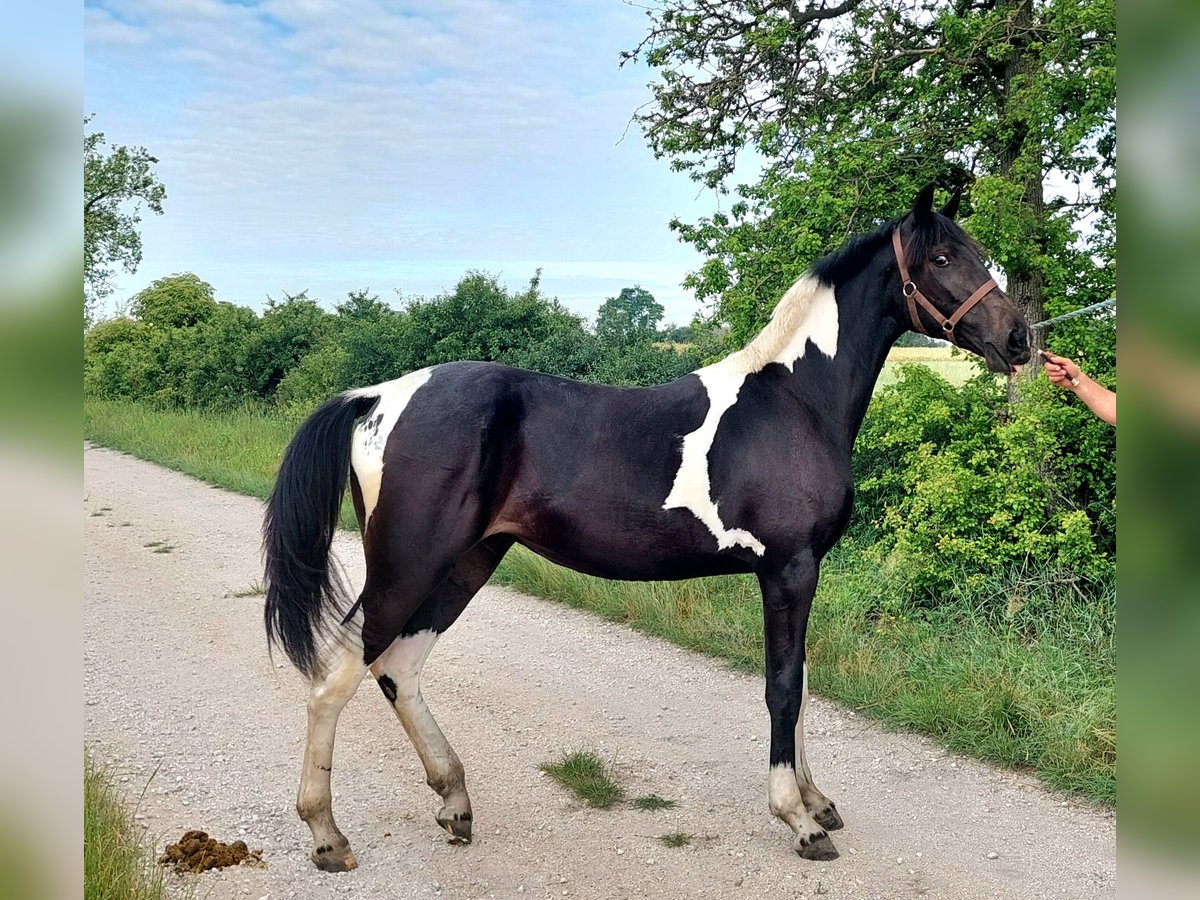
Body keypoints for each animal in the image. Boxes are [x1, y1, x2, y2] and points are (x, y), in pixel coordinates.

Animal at [262, 184, 1032, 873]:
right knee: (336, 674)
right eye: (943, 258)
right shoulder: (788, 567)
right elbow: (783, 686)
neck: (792, 401)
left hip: (469, 560)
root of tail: (375, 399)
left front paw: (817, 800)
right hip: (407, 564)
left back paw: (455, 803)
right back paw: (327, 837)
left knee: (399, 665)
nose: (1018, 338)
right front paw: (800, 820)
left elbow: (804, 683)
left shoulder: (801, 569)